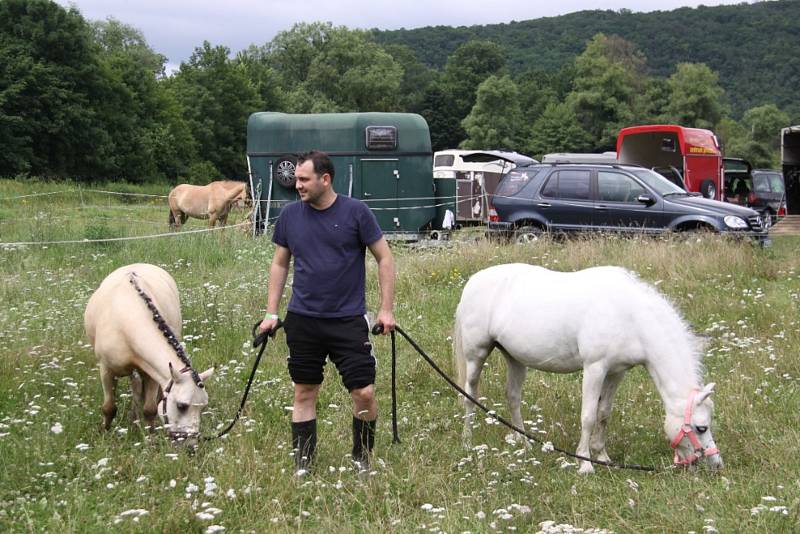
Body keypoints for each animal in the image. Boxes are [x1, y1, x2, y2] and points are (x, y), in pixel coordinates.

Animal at [84, 264, 212, 448]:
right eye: (182, 406)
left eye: (202, 407)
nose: (191, 446)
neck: (126, 318)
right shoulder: (106, 370)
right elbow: (109, 407)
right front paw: (104, 434)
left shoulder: (150, 372)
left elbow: (150, 409)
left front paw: (150, 440)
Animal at [454, 266, 720, 476]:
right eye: (701, 427)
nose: (716, 464)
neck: (630, 316)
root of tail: (473, 281)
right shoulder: (595, 368)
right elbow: (589, 416)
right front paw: (585, 463)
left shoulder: (616, 372)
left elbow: (603, 414)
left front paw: (602, 456)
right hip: (476, 355)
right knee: (470, 394)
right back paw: (467, 441)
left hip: (515, 358)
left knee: (512, 397)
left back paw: (524, 443)